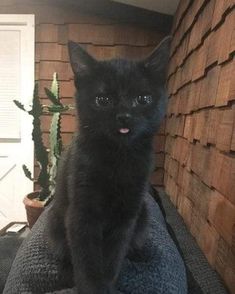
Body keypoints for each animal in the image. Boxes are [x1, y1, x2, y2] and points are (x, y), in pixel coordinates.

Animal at [46, 36, 171, 294]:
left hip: (142, 213)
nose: (124, 116)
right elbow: (87, 260)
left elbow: (114, 256)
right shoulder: (81, 214)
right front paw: (91, 286)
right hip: (54, 221)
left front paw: (108, 284)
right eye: (103, 100)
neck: (118, 158)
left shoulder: (126, 215)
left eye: (143, 99)